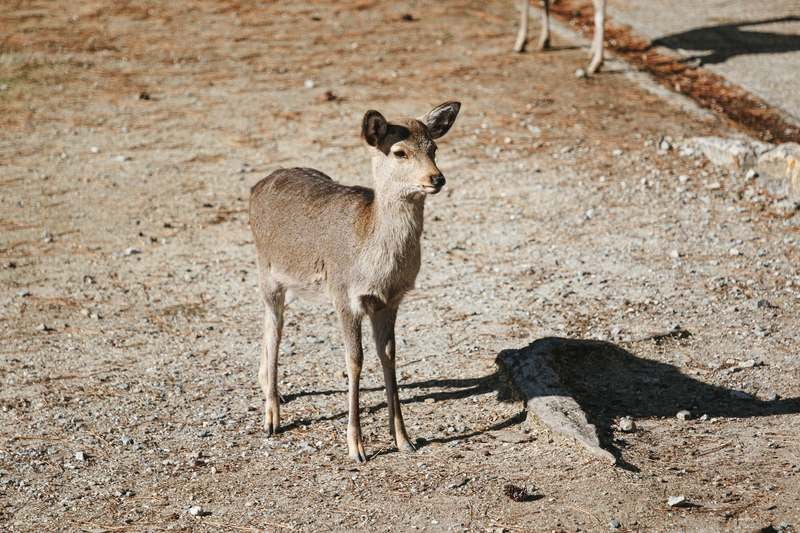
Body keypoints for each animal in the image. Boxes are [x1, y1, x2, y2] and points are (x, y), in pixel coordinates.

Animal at [250, 102, 462, 460]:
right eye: (400, 152)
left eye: (433, 148)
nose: (437, 178)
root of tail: (256, 186)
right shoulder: (343, 294)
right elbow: (355, 360)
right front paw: (356, 446)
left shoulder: (391, 300)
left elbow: (389, 354)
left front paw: (404, 439)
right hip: (267, 270)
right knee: (273, 330)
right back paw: (271, 417)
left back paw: (270, 391)